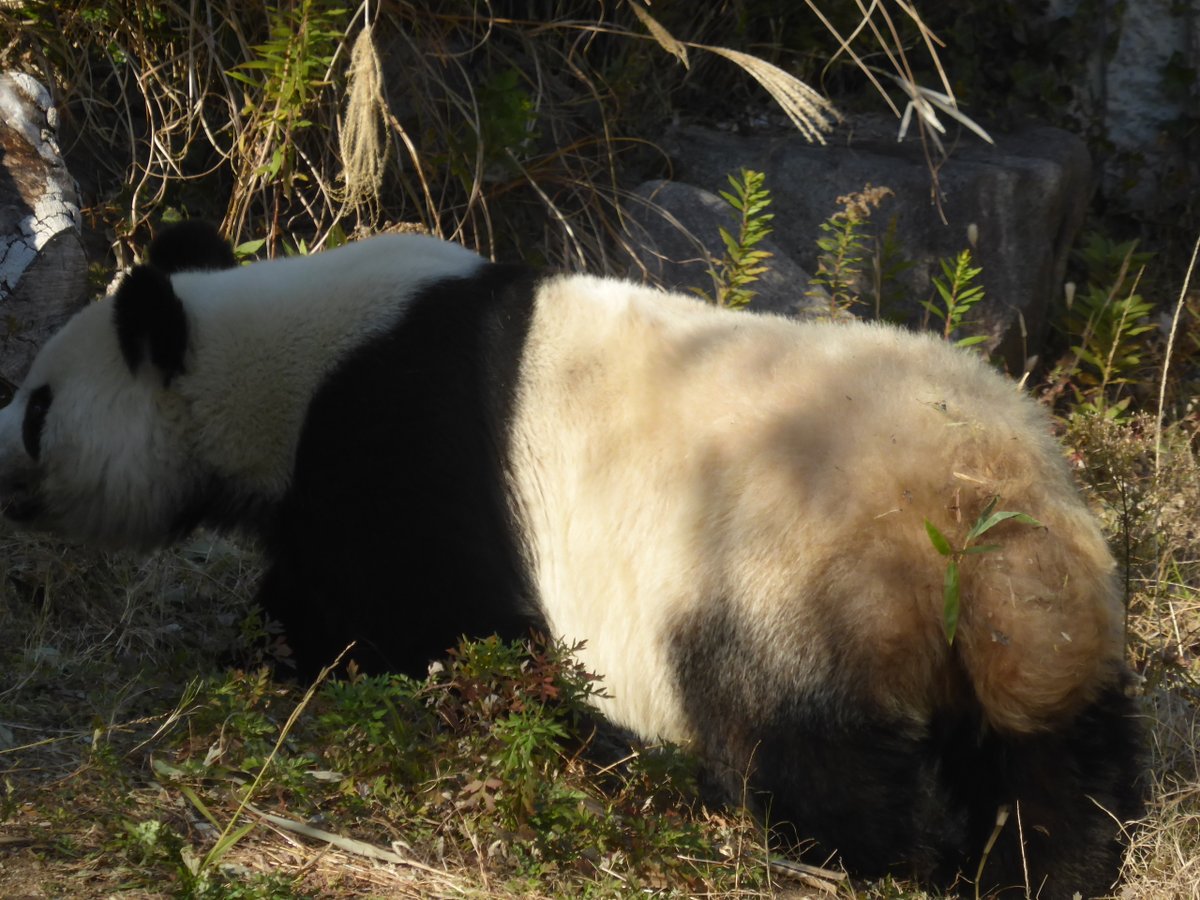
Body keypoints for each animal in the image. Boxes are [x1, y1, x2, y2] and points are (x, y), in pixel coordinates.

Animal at [0, 224, 1137, 897]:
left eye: (40, 405)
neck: (281, 353)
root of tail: (974, 517)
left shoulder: (398, 452)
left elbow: (403, 617)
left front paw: (252, 656)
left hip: (784, 579)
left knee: (803, 745)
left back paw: (869, 849)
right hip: (1051, 593)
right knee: (1059, 756)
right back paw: (1043, 867)